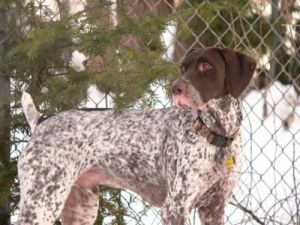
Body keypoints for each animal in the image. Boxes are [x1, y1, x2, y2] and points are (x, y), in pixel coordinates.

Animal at [16, 47, 255, 225]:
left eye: (206, 66)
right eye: (183, 68)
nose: (175, 88)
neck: (217, 134)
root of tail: (41, 121)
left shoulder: (214, 208)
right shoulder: (175, 207)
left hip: (80, 206)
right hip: (42, 203)